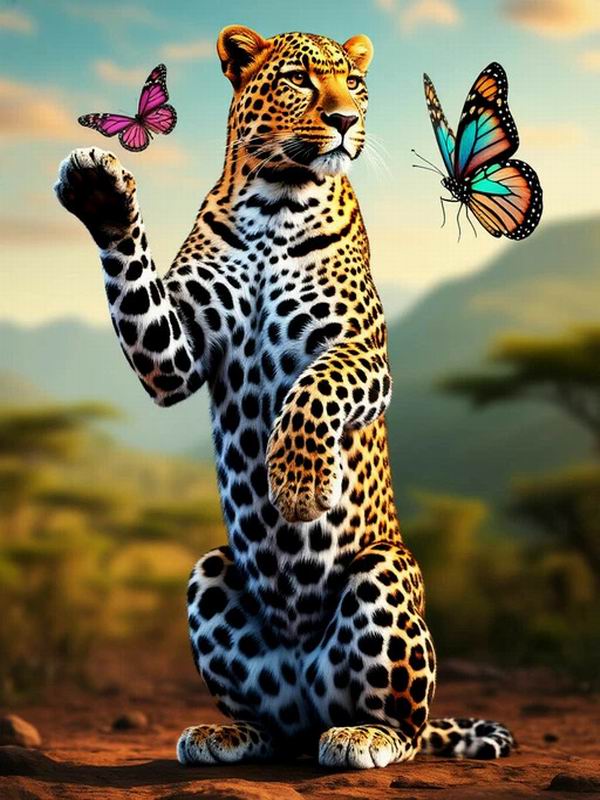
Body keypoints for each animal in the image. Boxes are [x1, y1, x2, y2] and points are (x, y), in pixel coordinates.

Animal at [54, 25, 514, 769]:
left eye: (352, 84)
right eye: (300, 79)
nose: (346, 120)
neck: (277, 197)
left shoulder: (360, 349)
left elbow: (314, 389)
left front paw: (298, 490)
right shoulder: (177, 357)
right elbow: (141, 295)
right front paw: (101, 195)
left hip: (383, 573)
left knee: (406, 728)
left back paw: (365, 734)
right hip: (211, 572)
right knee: (278, 722)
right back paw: (230, 733)